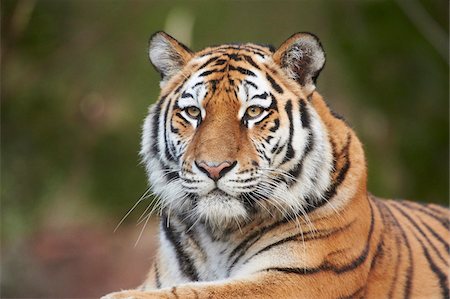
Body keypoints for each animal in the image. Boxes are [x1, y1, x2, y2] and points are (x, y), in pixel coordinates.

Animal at [103, 31, 450, 298]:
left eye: (254, 112)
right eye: (192, 113)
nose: (213, 168)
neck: (218, 234)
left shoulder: (298, 277)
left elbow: (195, 293)